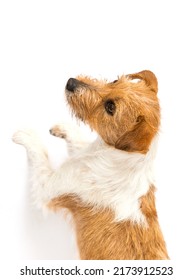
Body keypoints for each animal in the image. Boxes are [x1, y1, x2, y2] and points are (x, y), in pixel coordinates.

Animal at [12, 70, 168, 260]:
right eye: (114, 81)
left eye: (110, 107)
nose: (71, 82)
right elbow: (78, 143)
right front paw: (64, 128)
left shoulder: (48, 187)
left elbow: (40, 153)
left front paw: (27, 135)